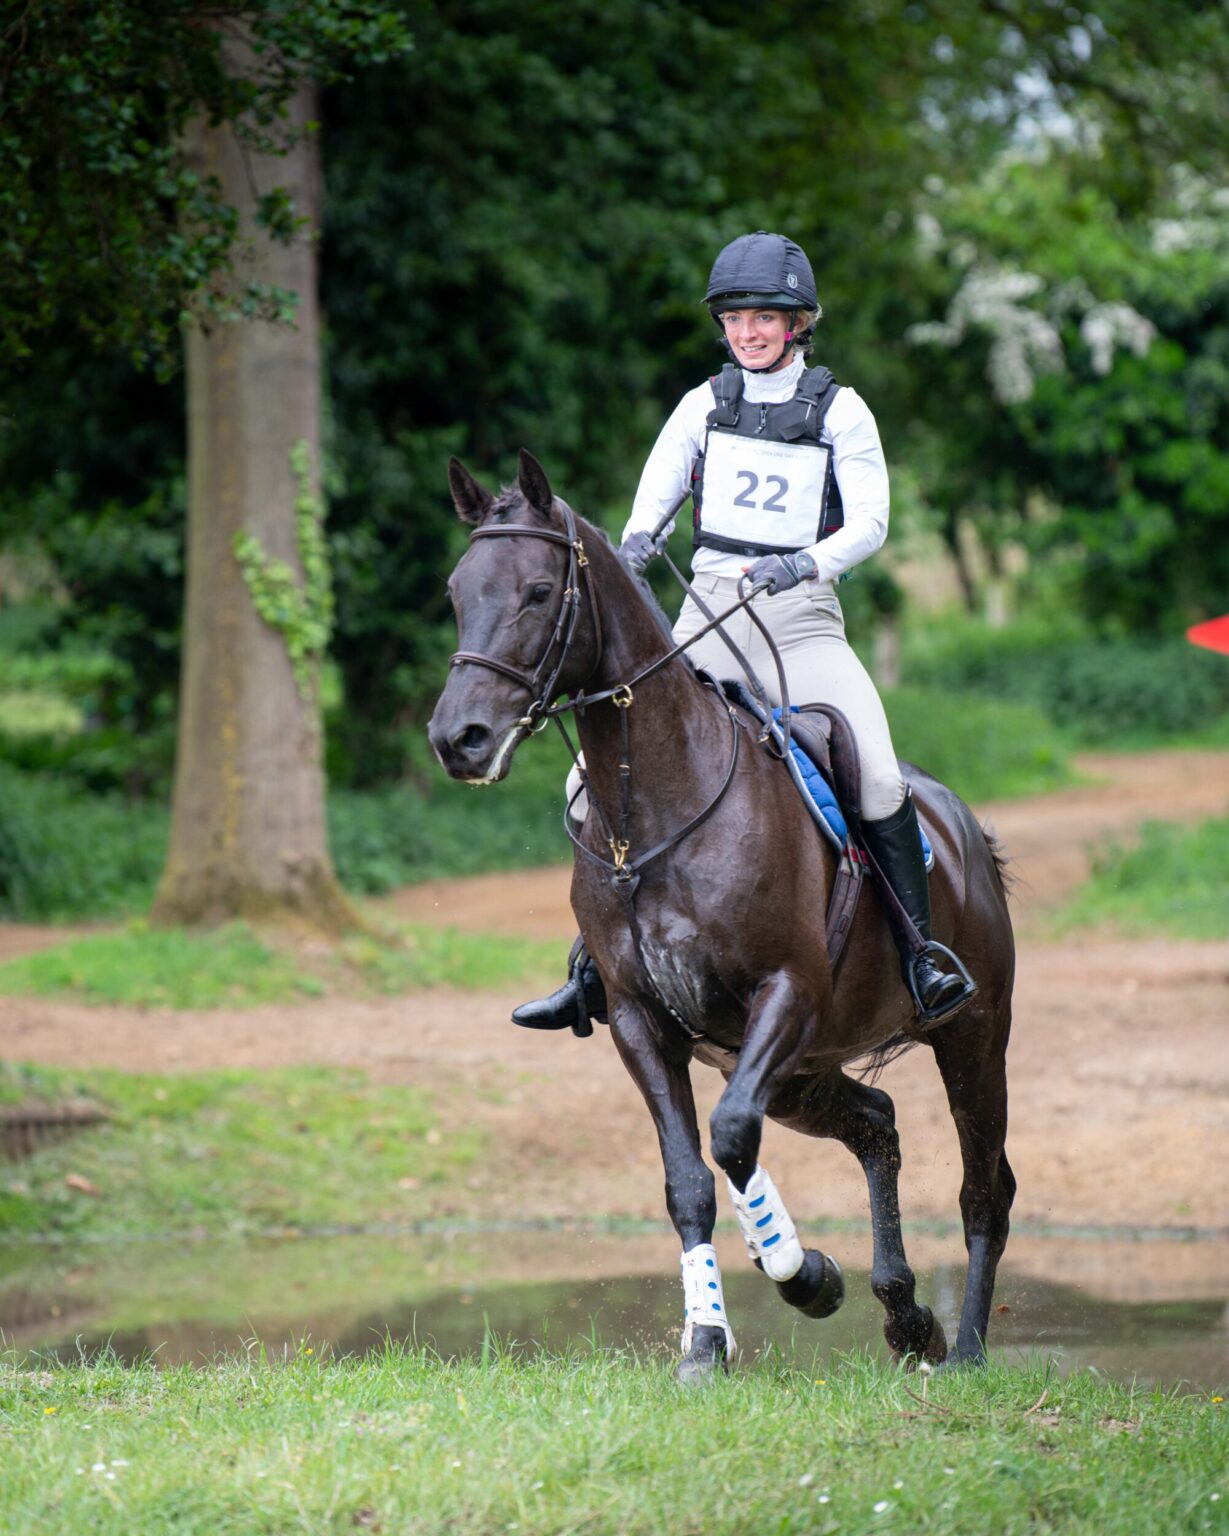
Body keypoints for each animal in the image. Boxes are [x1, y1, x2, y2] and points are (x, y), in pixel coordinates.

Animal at [429, 450, 1016, 1383]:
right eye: (457, 590)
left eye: (537, 591)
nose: (460, 739)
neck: (659, 807)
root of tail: (964, 828)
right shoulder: (644, 1021)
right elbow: (691, 1178)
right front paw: (707, 1338)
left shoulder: (784, 994)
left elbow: (732, 1138)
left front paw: (801, 1275)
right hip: (807, 1070)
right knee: (876, 1127)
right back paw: (904, 1316)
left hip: (971, 1037)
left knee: (982, 1187)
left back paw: (960, 1348)